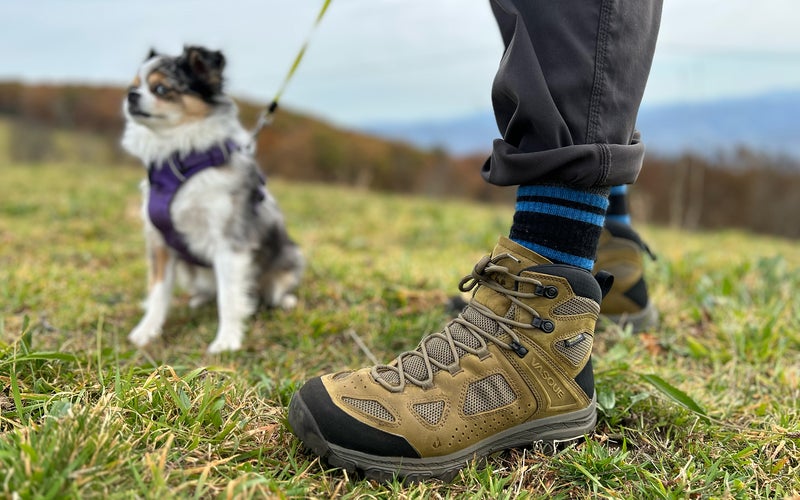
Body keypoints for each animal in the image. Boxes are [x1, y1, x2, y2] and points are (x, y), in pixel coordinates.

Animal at [121, 46, 304, 352]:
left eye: (161, 89)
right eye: (133, 86)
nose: (131, 96)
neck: (180, 162)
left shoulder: (229, 243)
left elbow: (229, 298)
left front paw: (227, 340)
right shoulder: (160, 243)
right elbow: (158, 292)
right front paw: (147, 331)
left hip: (291, 256)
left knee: (272, 291)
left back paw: (285, 300)